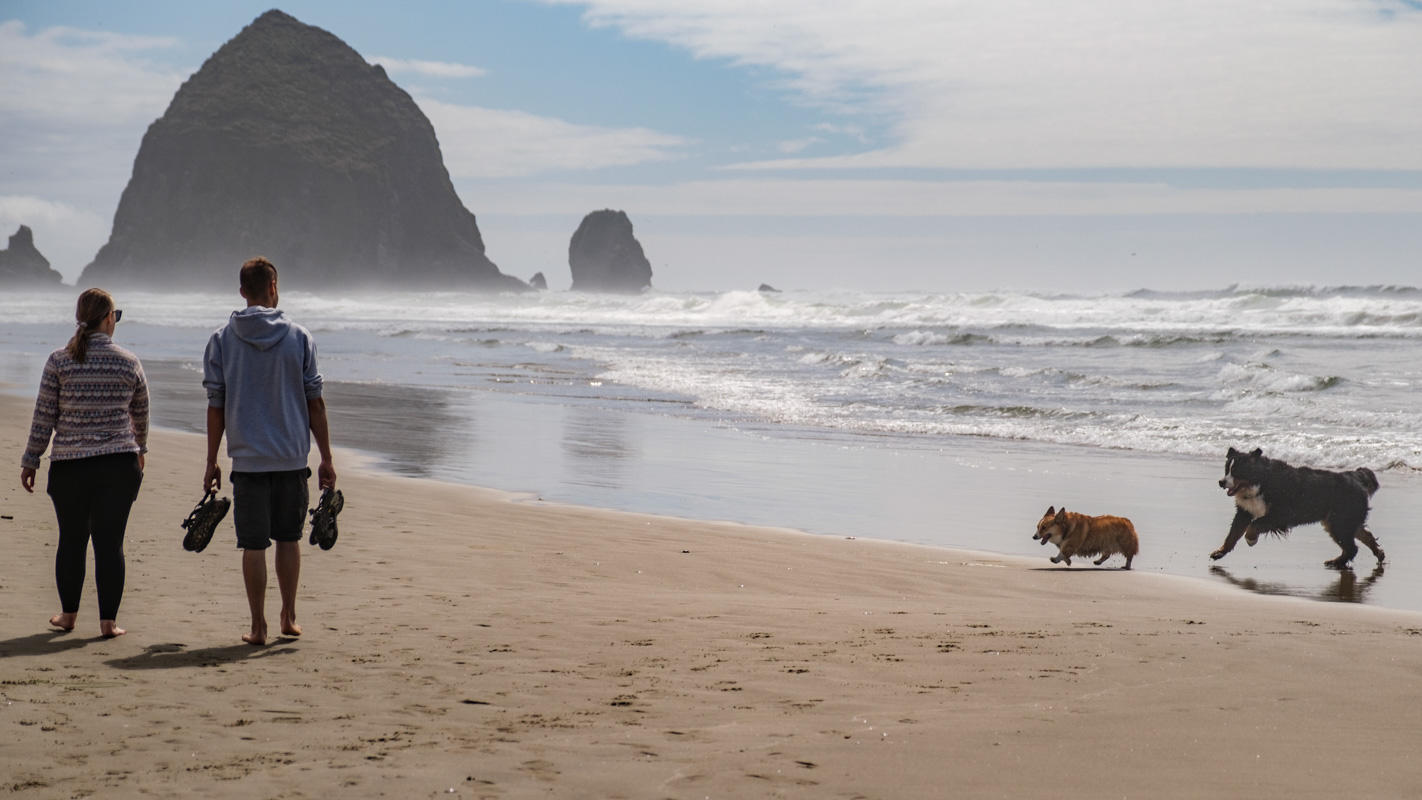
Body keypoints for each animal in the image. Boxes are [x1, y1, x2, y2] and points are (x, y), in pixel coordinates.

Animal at [1205, 451, 1382, 568]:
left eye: (1236, 471)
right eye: (1226, 469)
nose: (1221, 482)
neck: (1260, 482)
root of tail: (1355, 476)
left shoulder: (1280, 514)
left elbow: (1253, 526)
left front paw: (1251, 539)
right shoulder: (1244, 511)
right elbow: (1232, 535)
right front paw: (1219, 552)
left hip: (1339, 522)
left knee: (1352, 547)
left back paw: (1336, 562)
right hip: (1340, 521)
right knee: (1364, 536)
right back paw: (1378, 554)